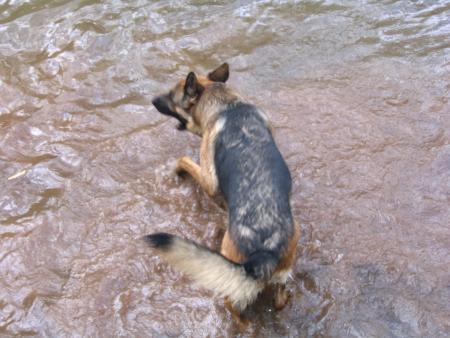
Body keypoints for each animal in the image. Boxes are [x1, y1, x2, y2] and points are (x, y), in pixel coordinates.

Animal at [144, 63, 298, 324]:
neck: (226, 105)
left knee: (231, 304)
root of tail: (264, 253)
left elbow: (184, 160)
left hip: (233, 276)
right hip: (282, 274)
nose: (152, 100)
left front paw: (177, 169)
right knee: (278, 301)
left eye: (171, 96)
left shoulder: (208, 179)